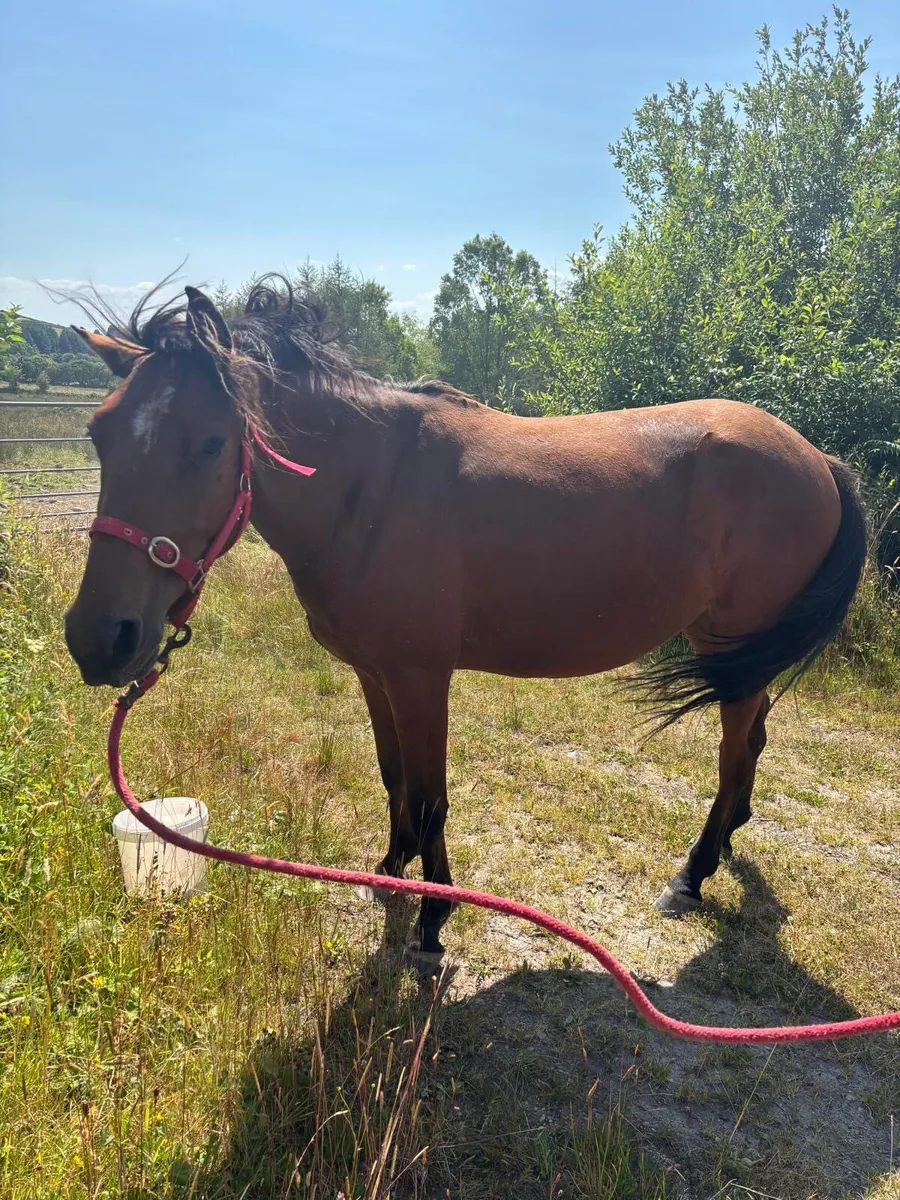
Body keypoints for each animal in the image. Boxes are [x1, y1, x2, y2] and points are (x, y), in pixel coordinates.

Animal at [64, 280, 867, 953]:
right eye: (100, 435)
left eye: (209, 443)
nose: (99, 640)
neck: (371, 490)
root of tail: (820, 460)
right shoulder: (375, 674)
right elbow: (393, 778)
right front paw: (390, 870)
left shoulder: (422, 679)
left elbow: (429, 799)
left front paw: (432, 915)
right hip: (740, 653)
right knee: (754, 743)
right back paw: (726, 845)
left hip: (735, 648)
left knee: (733, 756)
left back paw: (691, 875)